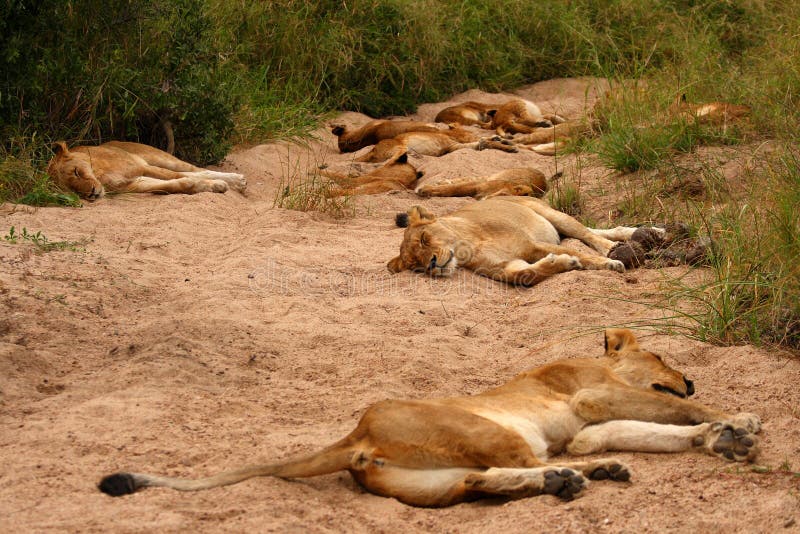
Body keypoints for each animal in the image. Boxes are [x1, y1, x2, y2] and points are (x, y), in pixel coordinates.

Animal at [47, 141, 245, 200]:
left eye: (76, 172)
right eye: (72, 190)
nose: (91, 194)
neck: (100, 175)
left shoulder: (141, 167)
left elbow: (179, 176)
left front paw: (219, 183)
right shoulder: (132, 184)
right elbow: (175, 183)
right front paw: (211, 186)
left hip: (158, 158)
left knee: (196, 169)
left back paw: (238, 180)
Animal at [100, 328, 764, 508]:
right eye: (664, 356)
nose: (692, 374)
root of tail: (358, 435)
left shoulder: (590, 424)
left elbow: (655, 430)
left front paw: (722, 438)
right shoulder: (590, 400)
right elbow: (669, 411)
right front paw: (735, 419)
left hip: (429, 481)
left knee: (476, 482)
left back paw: (573, 478)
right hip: (486, 429)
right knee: (502, 469)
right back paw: (575, 479)